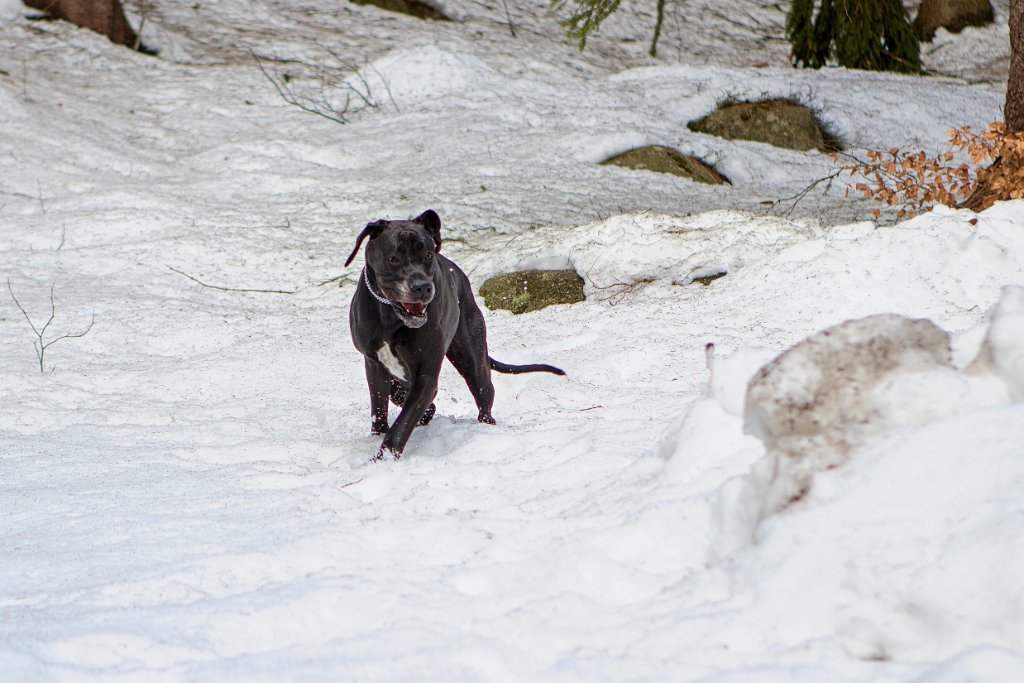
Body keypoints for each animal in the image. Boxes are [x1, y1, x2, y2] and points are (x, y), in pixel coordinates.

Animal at [348, 209, 565, 458]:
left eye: (428, 255)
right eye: (394, 259)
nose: (422, 286)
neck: (389, 317)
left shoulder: (425, 375)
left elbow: (402, 424)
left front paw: (384, 459)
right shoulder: (373, 362)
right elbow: (381, 403)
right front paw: (383, 432)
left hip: (472, 358)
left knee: (484, 394)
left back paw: (485, 428)